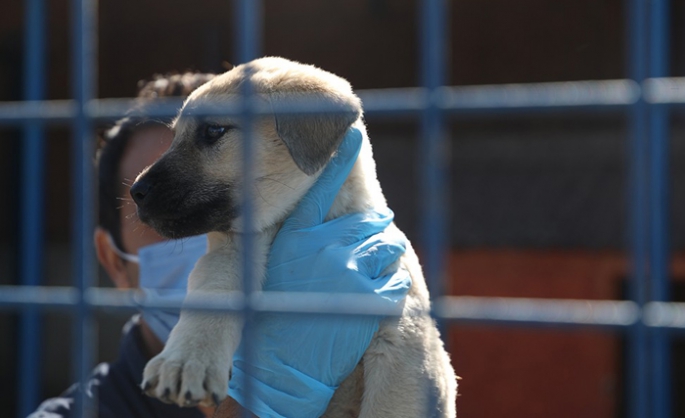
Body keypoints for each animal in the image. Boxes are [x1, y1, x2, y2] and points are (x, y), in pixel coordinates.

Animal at [131, 57, 456, 416]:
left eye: (213, 131)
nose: (136, 192)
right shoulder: (229, 252)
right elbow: (213, 289)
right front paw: (187, 359)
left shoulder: (405, 339)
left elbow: (390, 400)